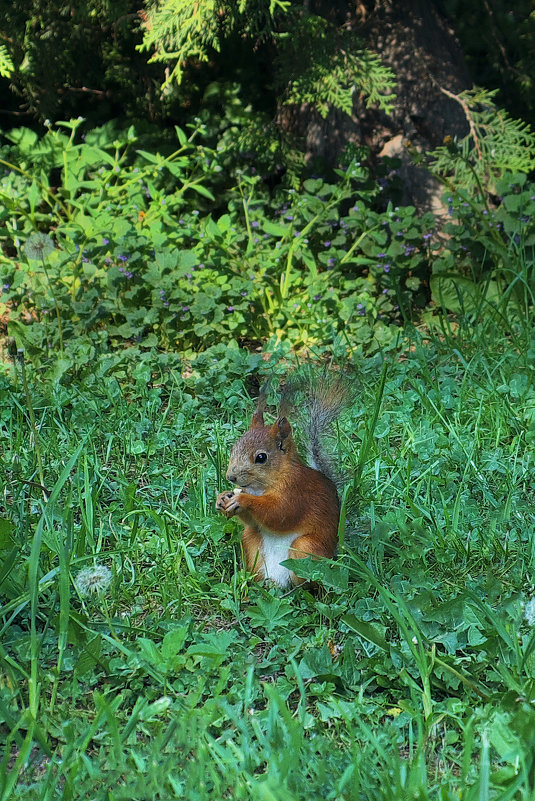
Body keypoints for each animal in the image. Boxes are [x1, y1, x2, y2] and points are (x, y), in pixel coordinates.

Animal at [216, 376, 350, 588]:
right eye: (234, 447)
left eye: (261, 457)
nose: (231, 477)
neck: (260, 488)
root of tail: (278, 580)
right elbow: (252, 520)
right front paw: (222, 499)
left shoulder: (297, 490)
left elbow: (280, 513)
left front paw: (242, 500)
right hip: (250, 541)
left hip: (306, 548)